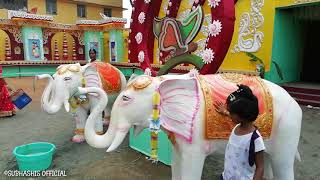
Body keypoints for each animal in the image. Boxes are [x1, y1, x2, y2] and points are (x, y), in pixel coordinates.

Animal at [79, 73, 302, 180]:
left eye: (125, 98)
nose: (82, 90)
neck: (164, 81)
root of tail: (295, 102)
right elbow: (177, 162)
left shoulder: (195, 138)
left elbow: (191, 165)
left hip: (289, 128)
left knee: (283, 164)